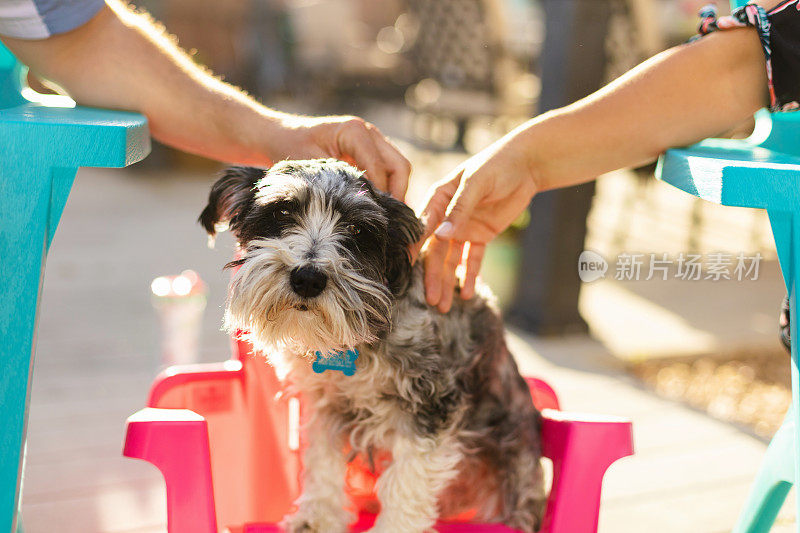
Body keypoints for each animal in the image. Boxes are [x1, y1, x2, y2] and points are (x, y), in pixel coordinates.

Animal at [202, 159, 544, 532]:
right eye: (281, 212)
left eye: (356, 229)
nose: (307, 278)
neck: (359, 343)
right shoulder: (327, 406)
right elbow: (322, 461)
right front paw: (317, 516)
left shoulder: (430, 405)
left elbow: (408, 478)